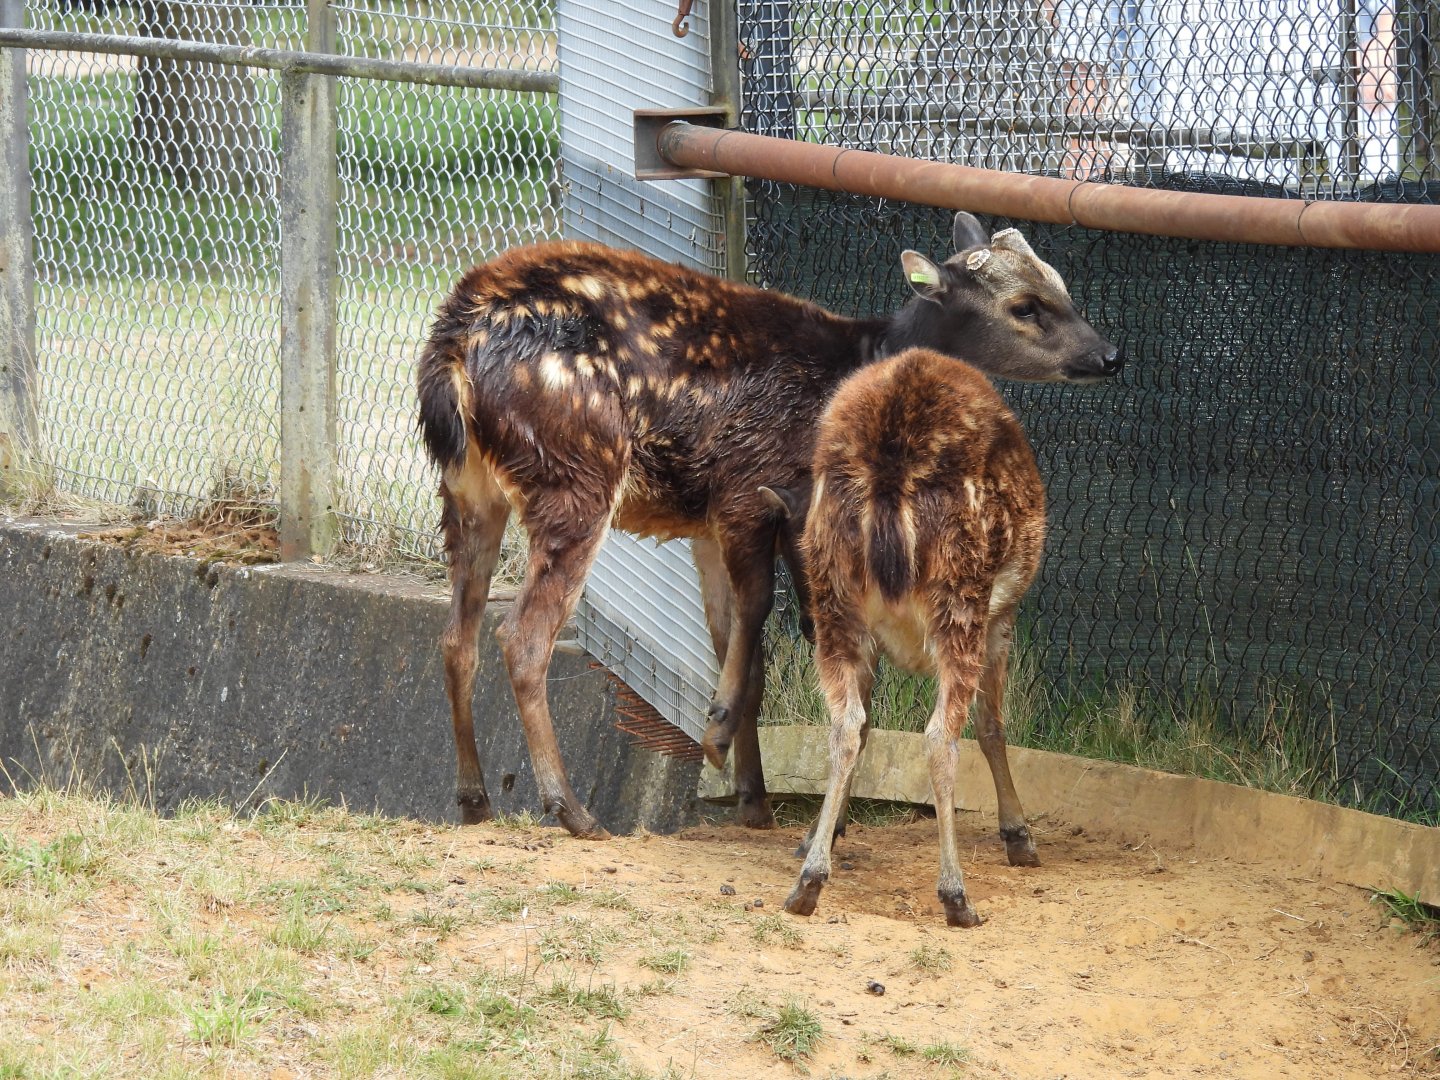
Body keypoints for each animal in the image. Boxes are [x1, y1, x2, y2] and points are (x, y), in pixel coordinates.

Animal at [415, 212, 1122, 840]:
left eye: (1060, 283)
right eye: (1025, 305)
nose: (1109, 355)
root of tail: (454, 343)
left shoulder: (711, 521)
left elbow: (736, 638)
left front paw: (752, 796)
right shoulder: (749, 490)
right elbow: (759, 623)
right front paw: (720, 736)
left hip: (468, 488)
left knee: (456, 637)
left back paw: (475, 799)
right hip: (575, 473)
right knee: (522, 636)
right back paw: (571, 810)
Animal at [772, 344, 1073, 927]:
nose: (801, 622)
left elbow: (866, 726)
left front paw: (823, 833)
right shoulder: (1004, 617)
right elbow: (992, 726)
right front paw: (1019, 837)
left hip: (837, 605)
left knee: (844, 724)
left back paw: (808, 882)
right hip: (963, 596)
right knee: (939, 736)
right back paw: (957, 895)